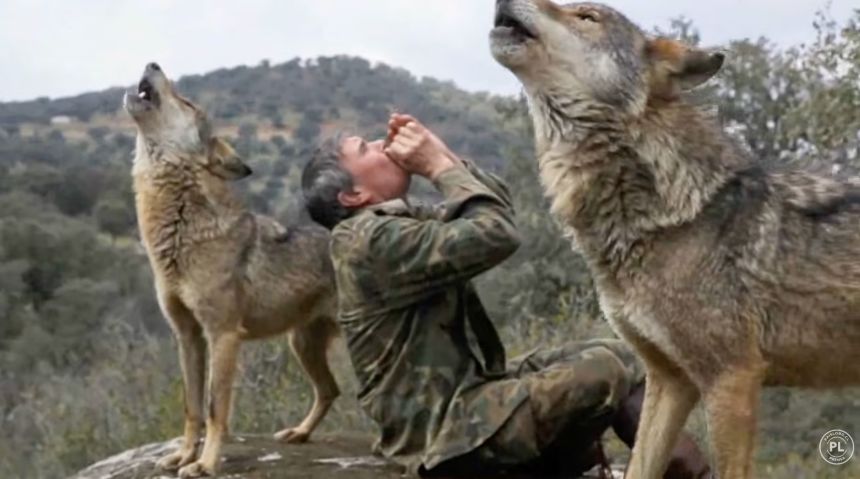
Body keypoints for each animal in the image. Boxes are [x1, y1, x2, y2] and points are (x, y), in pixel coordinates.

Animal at [124, 63, 340, 478]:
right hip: (301, 345)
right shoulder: (188, 337)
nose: (153, 64)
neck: (180, 230)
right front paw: (182, 457)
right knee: (330, 390)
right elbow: (191, 407)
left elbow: (214, 409)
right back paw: (299, 434)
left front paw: (206, 464)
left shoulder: (223, 335)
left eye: (187, 102)